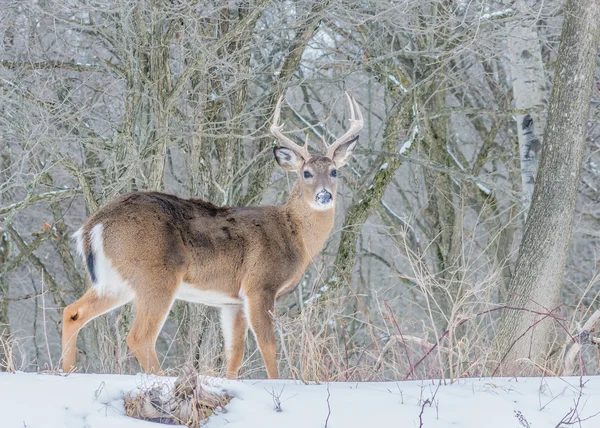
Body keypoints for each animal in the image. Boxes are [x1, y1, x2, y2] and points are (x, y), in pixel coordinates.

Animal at [61, 93, 364, 378]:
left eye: (334, 171)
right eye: (306, 173)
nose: (324, 196)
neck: (294, 235)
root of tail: (93, 225)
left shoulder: (232, 301)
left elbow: (234, 353)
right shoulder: (259, 285)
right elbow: (268, 346)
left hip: (116, 280)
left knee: (73, 312)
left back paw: (67, 372)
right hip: (156, 275)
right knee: (139, 337)